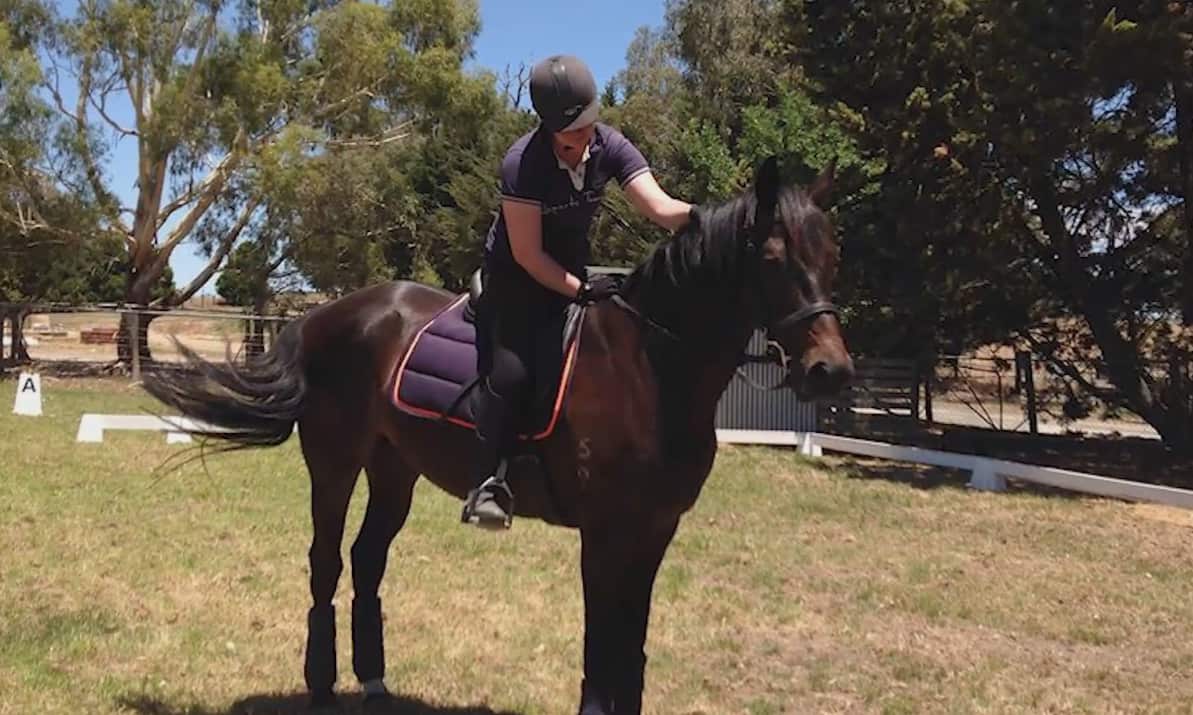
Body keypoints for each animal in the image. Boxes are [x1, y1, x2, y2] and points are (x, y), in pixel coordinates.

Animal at [142, 156, 854, 714]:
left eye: (832, 255)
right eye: (773, 260)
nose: (831, 371)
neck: (649, 364)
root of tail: (324, 316)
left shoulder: (654, 530)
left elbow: (631, 648)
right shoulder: (606, 532)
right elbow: (601, 649)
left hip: (394, 468)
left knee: (368, 559)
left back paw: (374, 683)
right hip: (334, 462)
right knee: (326, 561)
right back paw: (320, 687)